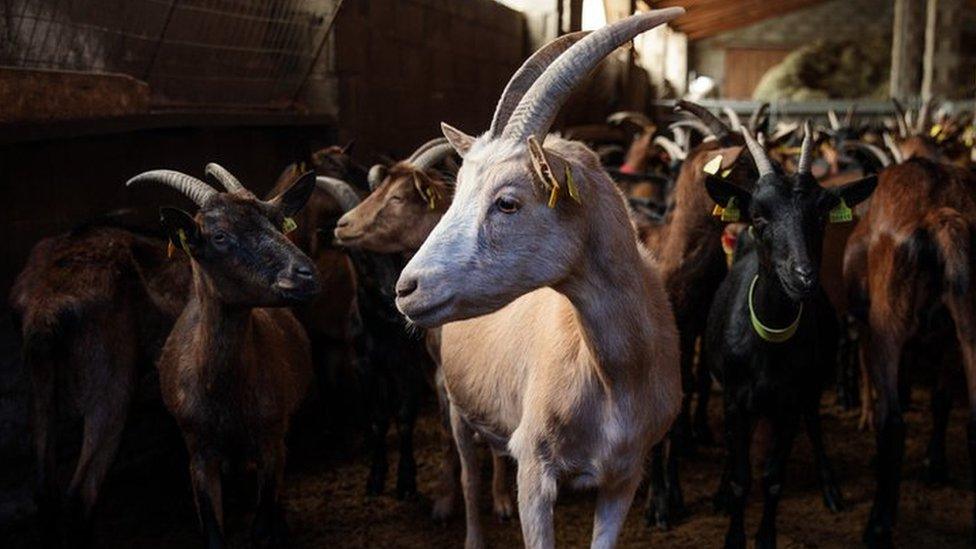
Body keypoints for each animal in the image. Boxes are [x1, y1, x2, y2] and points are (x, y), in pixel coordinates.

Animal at [127, 166, 320, 544]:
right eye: (219, 236)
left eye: (278, 221)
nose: (306, 274)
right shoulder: (199, 452)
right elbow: (213, 531)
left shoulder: (271, 442)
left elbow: (261, 524)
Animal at [392, 9, 684, 548]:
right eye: (456, 191)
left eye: (508, 202)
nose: (406, 289)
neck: (617, 375)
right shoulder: (536, 471)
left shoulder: (624, 475)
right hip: (453, 397)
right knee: (467, 469)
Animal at [700, 124, 876, 548]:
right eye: (758, 217)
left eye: (822, 214)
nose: (803, 277)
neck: (769, 343)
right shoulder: (734, 400)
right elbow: (741, 478)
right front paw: (733, 532)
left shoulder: (791, 402)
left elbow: (773, 478)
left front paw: (765, 537)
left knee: (814, 424)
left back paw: (830, 486)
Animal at [840, 156, 976, 544]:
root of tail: (941, 214)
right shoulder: (948, 338)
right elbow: (941, 399)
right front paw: (934, 465)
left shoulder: (872, 329)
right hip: (969, 323)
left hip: (888, 323)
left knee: (893, 421)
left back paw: (878, 524)